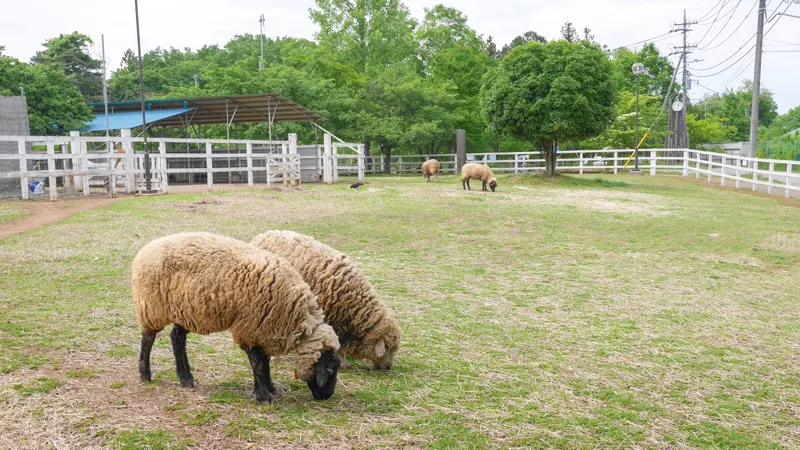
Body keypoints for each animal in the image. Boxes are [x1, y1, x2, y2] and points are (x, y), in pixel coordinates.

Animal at [132, 232, 341, 402]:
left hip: (186, 309)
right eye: (331, 368)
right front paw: (262, 395)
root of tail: (144, 250)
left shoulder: (263, 328)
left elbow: (264, 360)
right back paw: (145, 374)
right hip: (151, 307)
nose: (327, 396)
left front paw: (270, 388)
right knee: (148, 339)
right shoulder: (249, 327)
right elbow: (256, 361)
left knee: (176, 337)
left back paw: (186, 378)